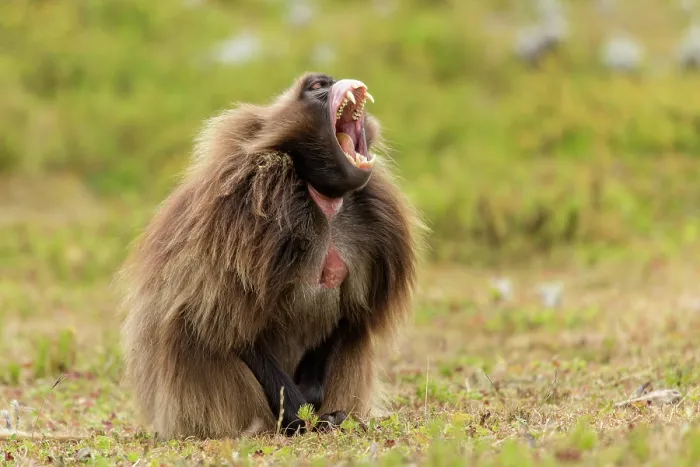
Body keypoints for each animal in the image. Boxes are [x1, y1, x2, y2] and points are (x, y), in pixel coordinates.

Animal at [117, 72, 422, 440]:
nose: (331, 79)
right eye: (316, 86)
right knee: (192, 333)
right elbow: (223, 322)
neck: (320, 198)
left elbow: (349, 316)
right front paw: (296, 413)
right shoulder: (245, 210)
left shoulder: (375, 230)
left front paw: (313, 403)